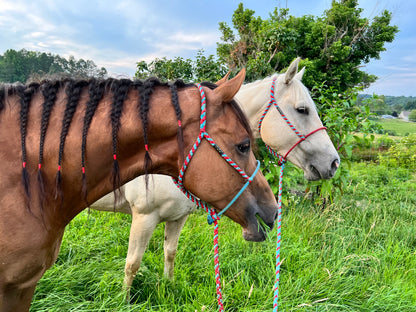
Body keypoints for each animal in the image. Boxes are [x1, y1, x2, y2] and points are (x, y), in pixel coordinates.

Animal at [92, 58, 342, 294]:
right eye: (302, 109)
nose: (333, 162)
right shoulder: (144, 217)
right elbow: (132, 264)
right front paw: (125, 300)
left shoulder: (178, 217)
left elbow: (170, 252)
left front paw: (168, 285)